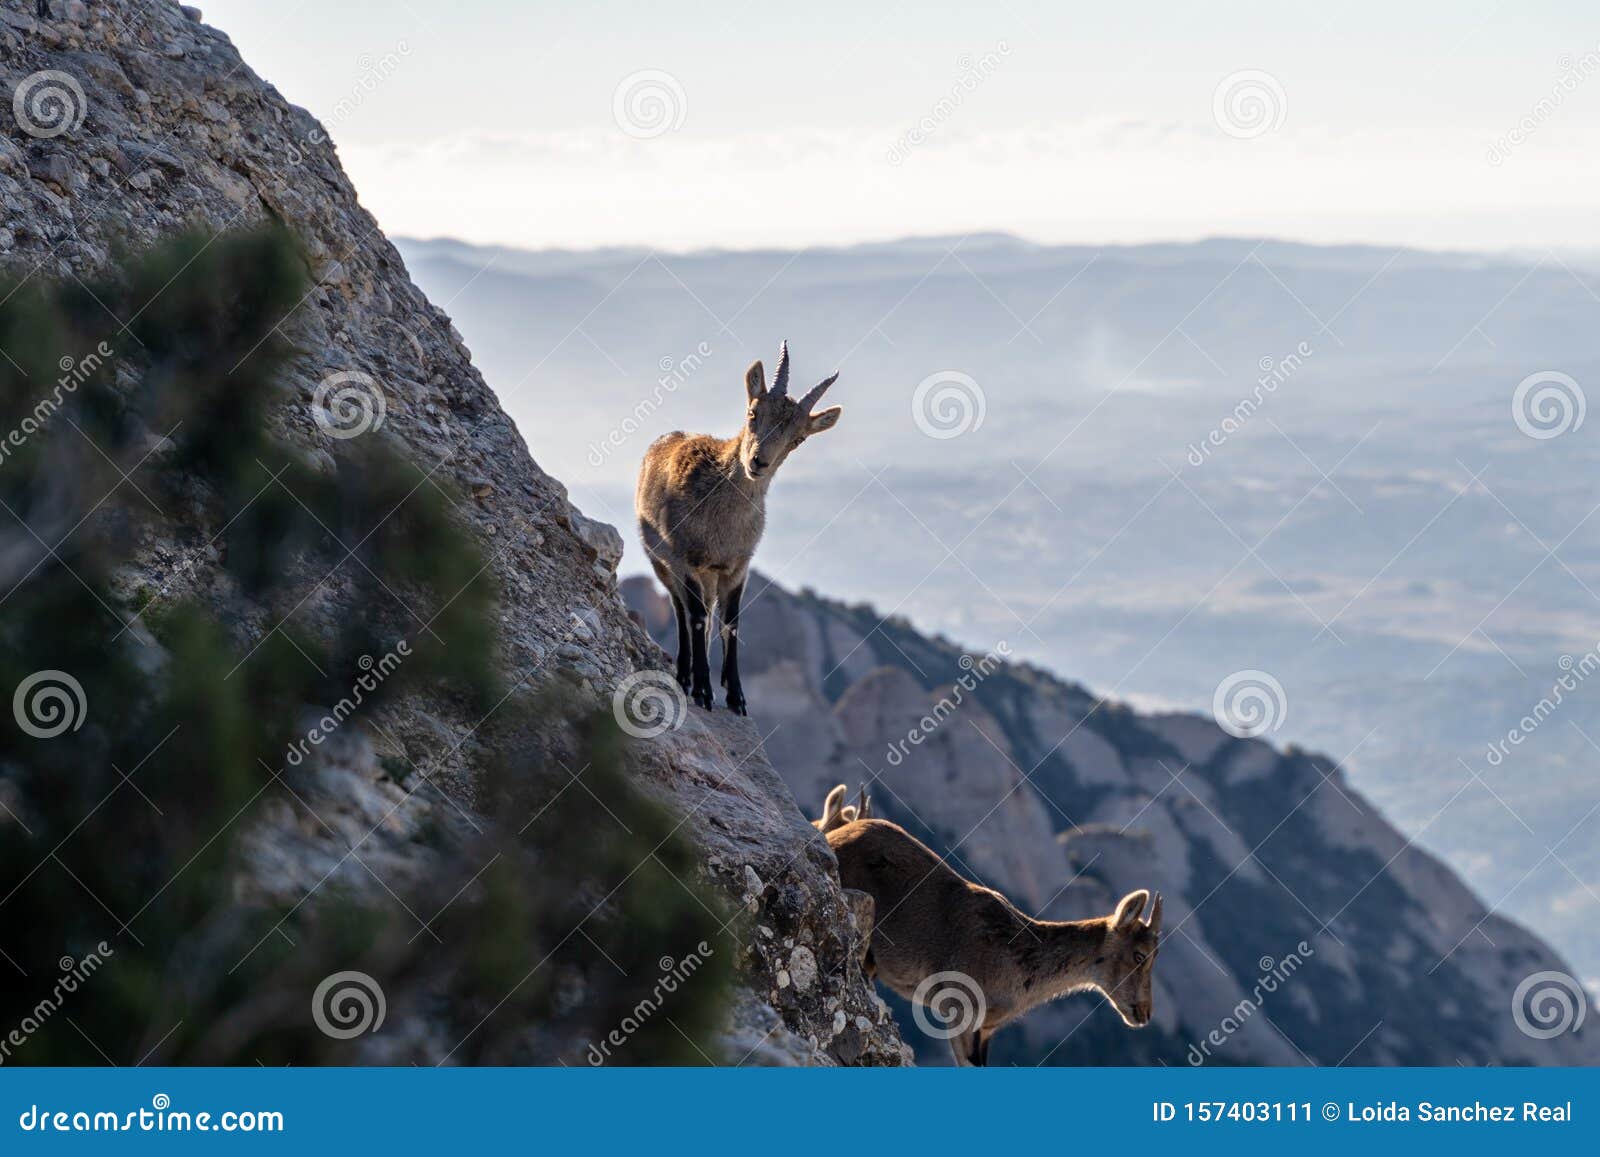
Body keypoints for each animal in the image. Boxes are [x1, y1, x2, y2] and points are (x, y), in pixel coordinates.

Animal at [636, 342, 842, 713]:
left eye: (799, 439)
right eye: (753, 413)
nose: (758, 462)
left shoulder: (736, 568)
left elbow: (730, 623)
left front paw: (736, 696)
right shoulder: (685, 560)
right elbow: (696, 617)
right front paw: (703, 690)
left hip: (707, 576)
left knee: (703, 611)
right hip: (660, 561)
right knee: (682, 610)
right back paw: (685, 675)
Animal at [827, 817, 1161, 1066]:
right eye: (1140, 955)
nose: (1144, 1013)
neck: (1019, 960)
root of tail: (831, 836)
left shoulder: (986, 1030)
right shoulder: (960, 1012)